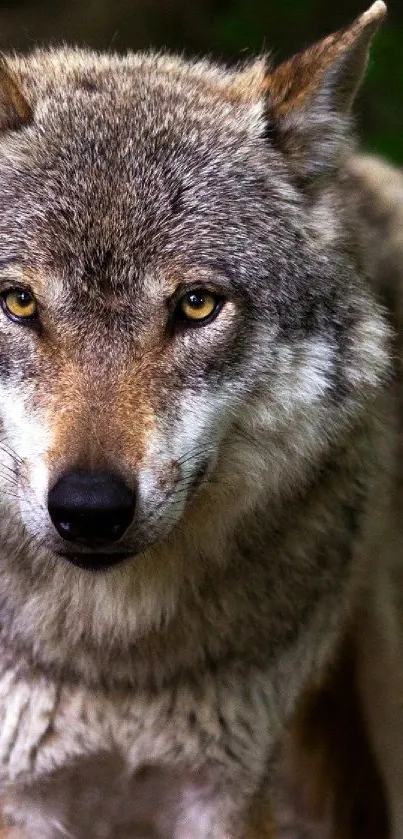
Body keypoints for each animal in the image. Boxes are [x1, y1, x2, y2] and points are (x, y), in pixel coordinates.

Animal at [0, 1, 400, 836]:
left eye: (195, 305)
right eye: (18, 301)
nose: (90, 508)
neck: (114, 665)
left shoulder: (225, 788)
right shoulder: (24, 794)